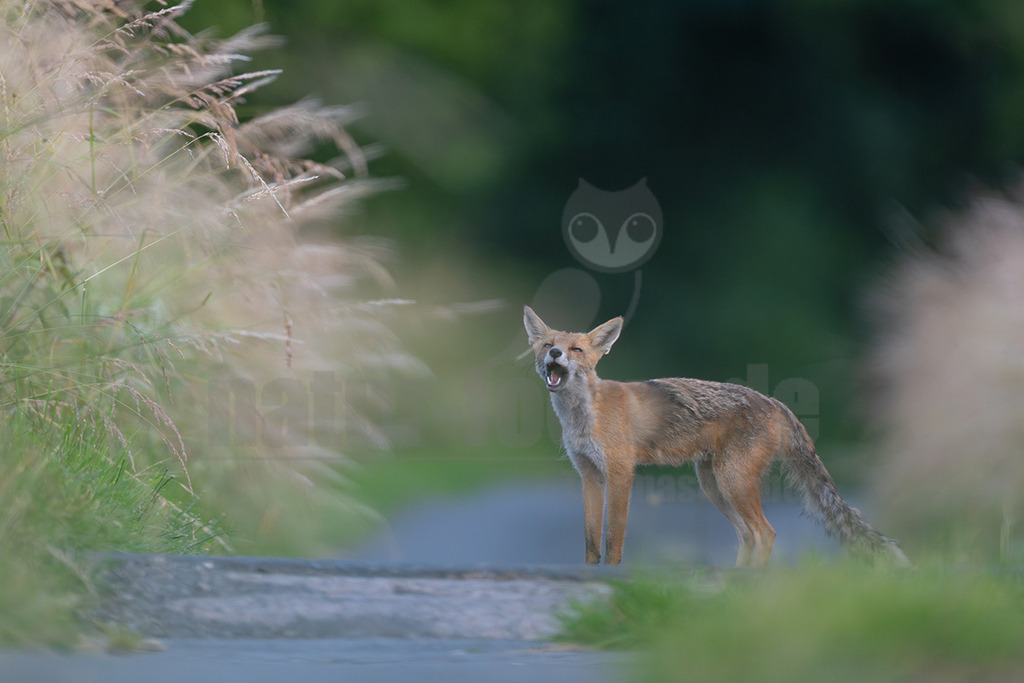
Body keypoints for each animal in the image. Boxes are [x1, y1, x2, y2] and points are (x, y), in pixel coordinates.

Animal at [523, 305, 908, 567]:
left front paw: (612, 572)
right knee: (747, 534)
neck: (583, 417)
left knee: (765, 532)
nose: (555, 354)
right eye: (547, 345)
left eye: (576, 350)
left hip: (732, 481)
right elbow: (591, 541)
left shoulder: (620, 475)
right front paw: (591, 572)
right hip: (714, 485)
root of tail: (775, 402)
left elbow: (613, 538)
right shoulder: (589, 476)